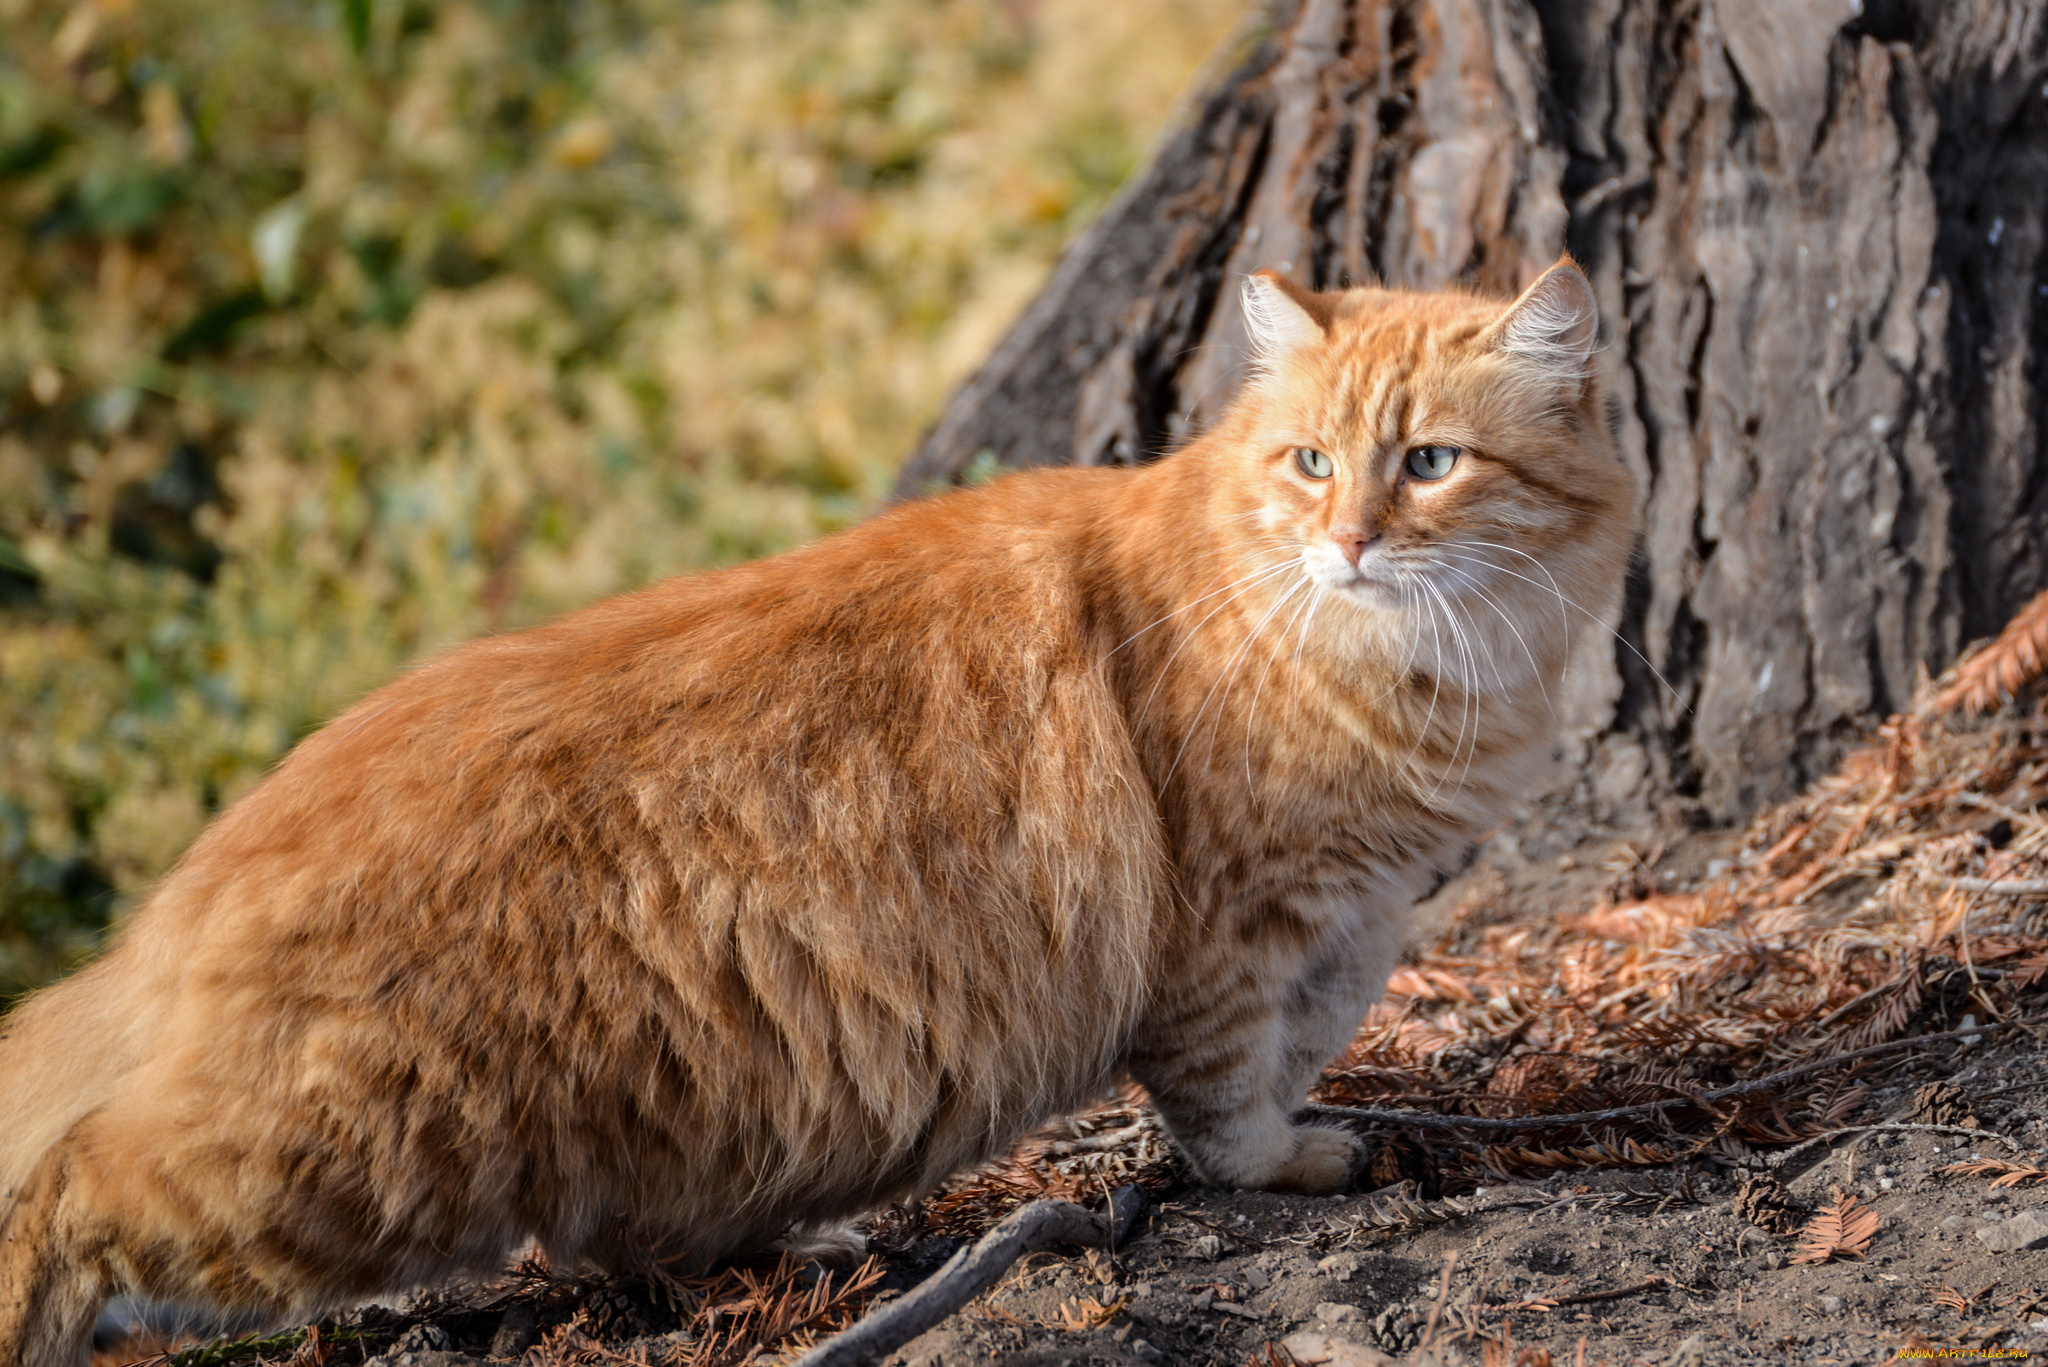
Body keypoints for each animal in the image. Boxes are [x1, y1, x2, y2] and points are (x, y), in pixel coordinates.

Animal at [0, 262, 1630, 1360]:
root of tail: (181, 893)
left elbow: (1305, 1041)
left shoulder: (1355, 912)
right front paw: (1283, 1164)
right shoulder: (1229, 925)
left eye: (1429, 462)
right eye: (1309, 461)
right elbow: (1227, 1095)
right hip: (348, 1161)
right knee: (70, 1186)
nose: (1349, 540)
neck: (1397, 668)